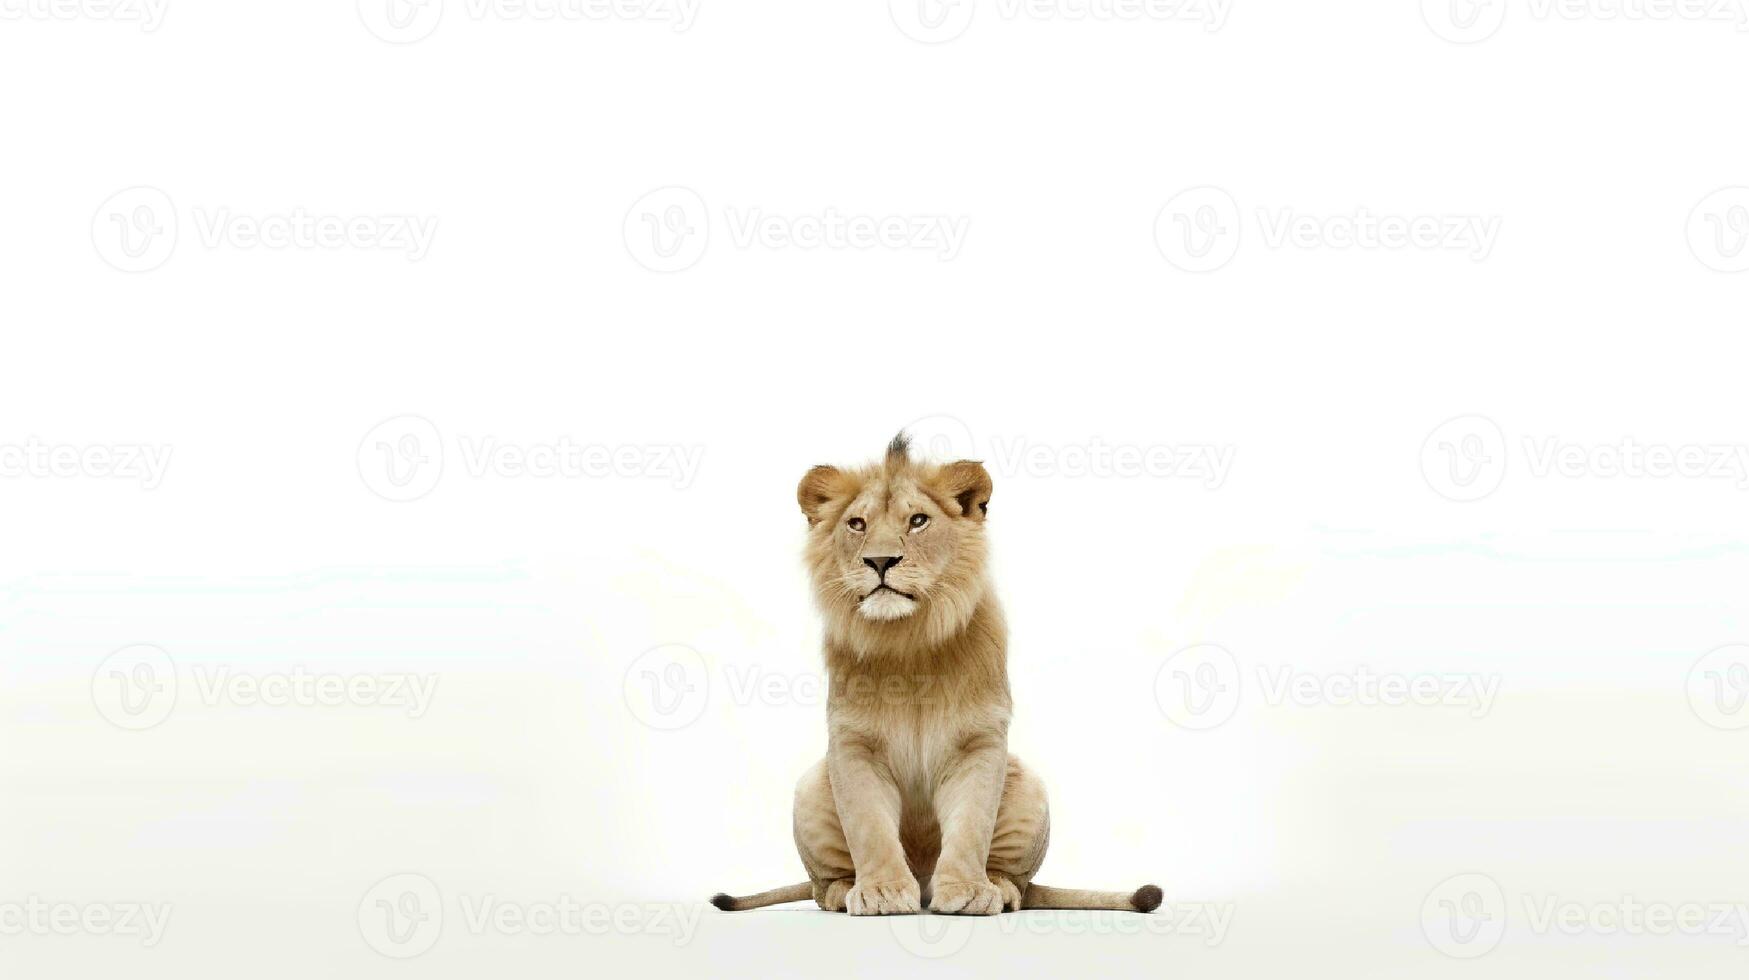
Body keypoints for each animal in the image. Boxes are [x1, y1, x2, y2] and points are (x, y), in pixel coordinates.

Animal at [710, 432, 1161, 917]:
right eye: (856, 524)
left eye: (918, 521)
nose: (880, 561)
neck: (908, 640)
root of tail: (924, 880)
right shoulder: (853, 743)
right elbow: (869, 827)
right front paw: (882, 892)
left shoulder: (979, 741)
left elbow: (971, 825)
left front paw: (968, 891)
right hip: (812, 785)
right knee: (820, 884)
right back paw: (844, 891)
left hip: (1029, 784)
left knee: (1021, 885)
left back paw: (998, 888)